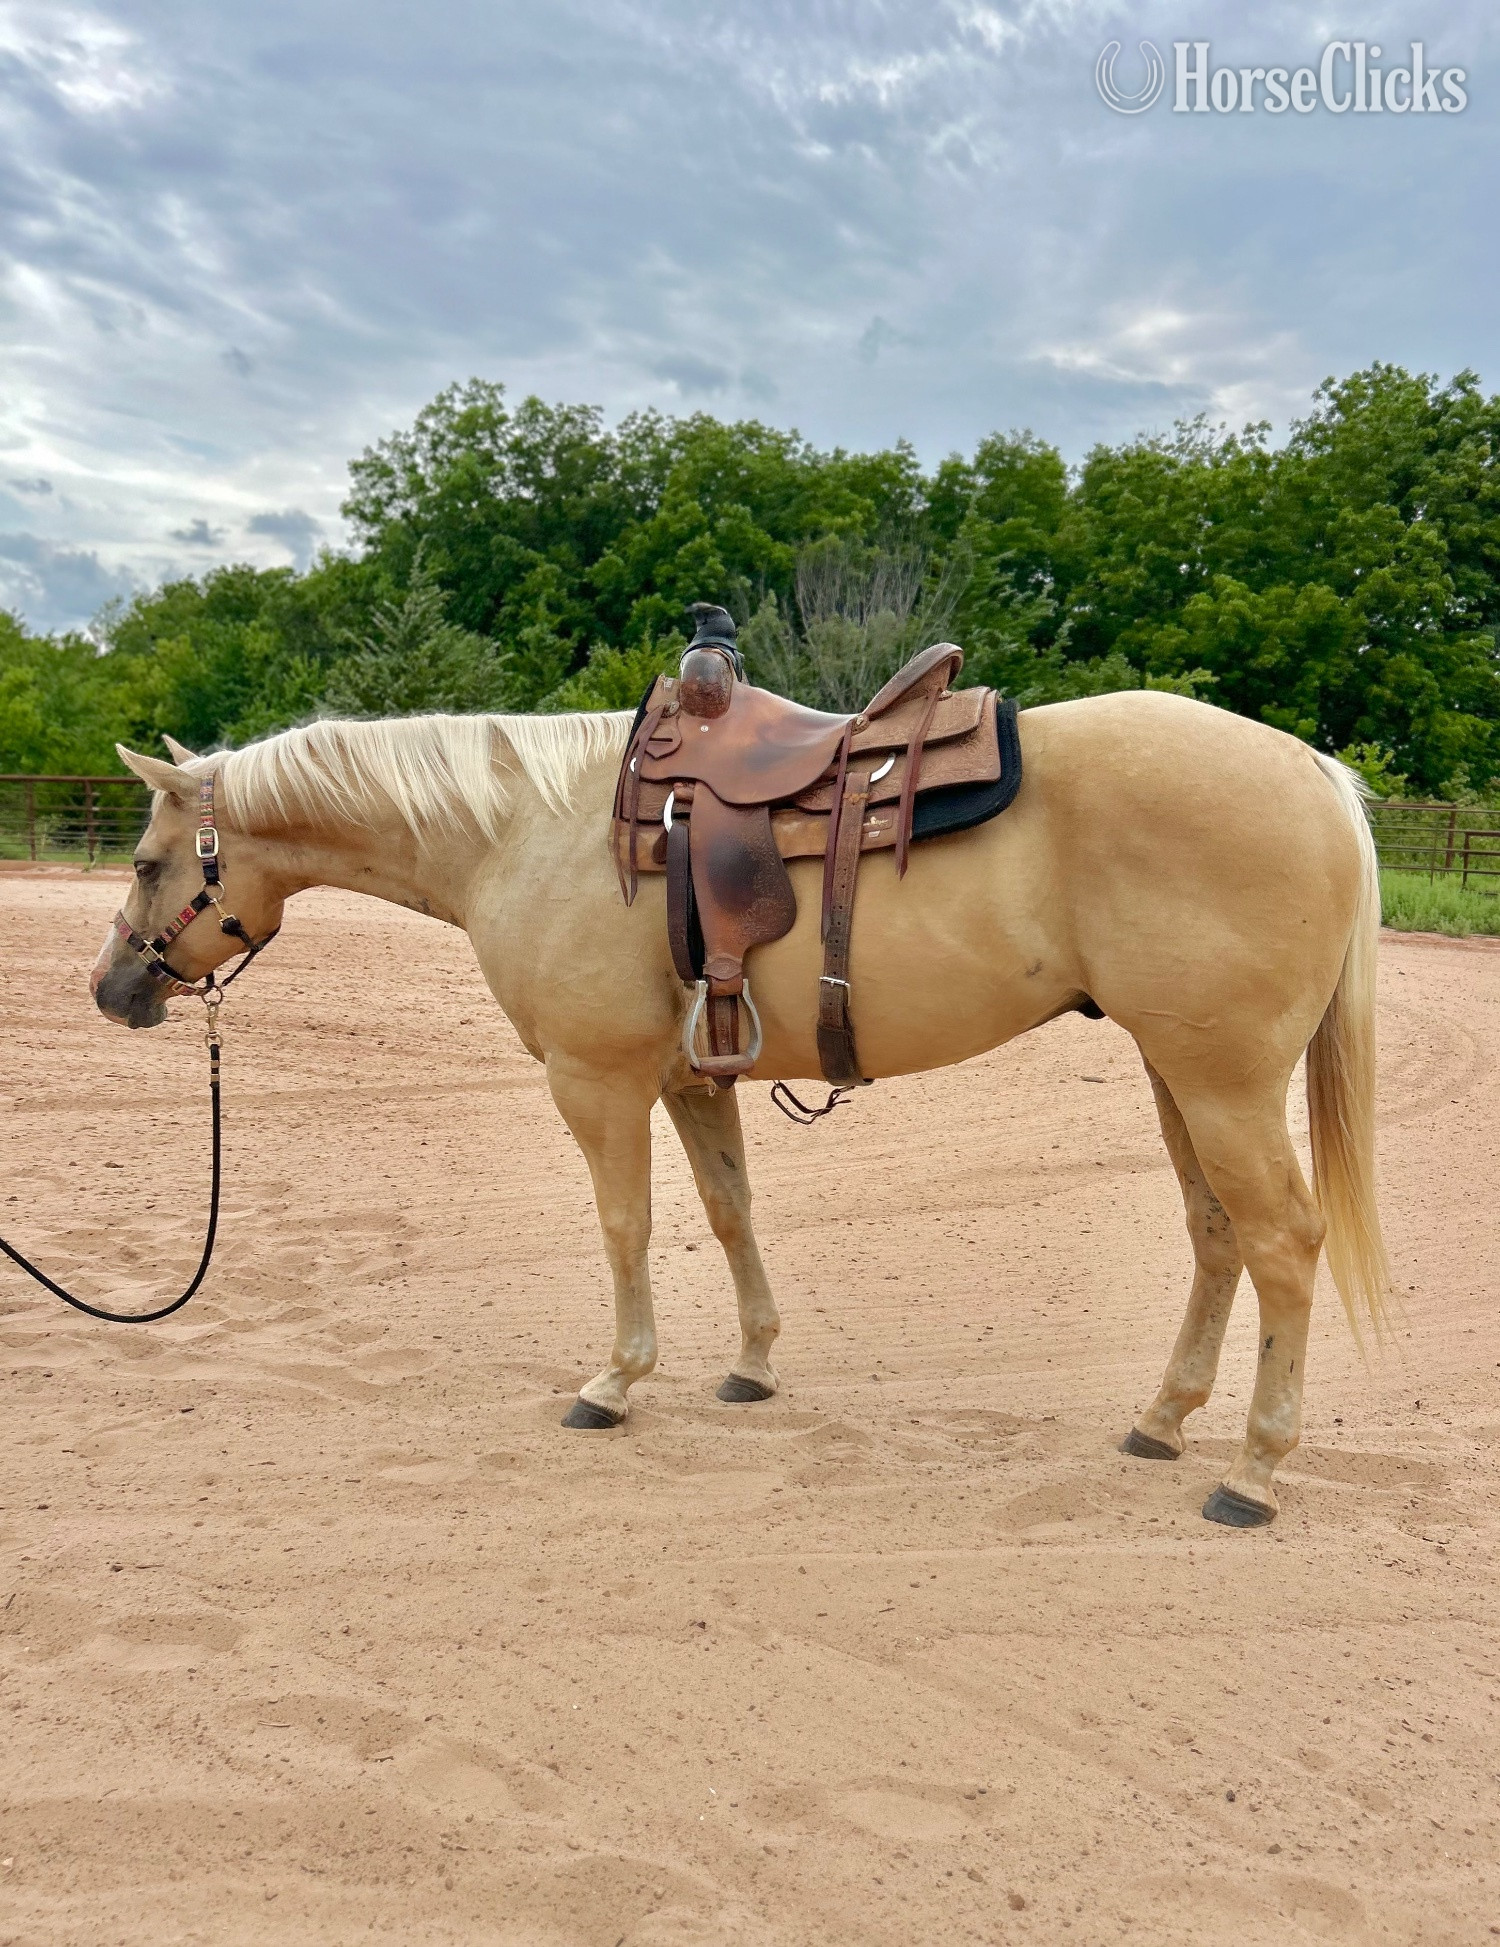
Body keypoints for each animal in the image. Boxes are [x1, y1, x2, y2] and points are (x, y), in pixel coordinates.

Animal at [93, 690, 1390, 1528]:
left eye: (151, 862)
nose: (111, 991)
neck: (527, 833)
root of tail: (1315, 776)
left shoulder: (597, 1080)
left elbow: (624, 1228)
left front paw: (615, 1384)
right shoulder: (687, 1080)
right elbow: (729, 1214)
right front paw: (753, 1366)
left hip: (1223, 1083)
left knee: (1283, 1242)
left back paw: (1252, 1473)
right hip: (1180, 1076)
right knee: (1217, 1235)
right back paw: (1163, 1420)